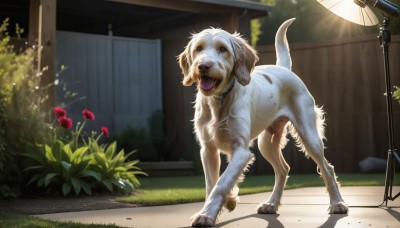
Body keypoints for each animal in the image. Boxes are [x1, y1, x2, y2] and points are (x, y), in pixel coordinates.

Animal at [177, 18, 346, 227]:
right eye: (199, 48)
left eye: (223, 49)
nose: (203, 66)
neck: (220, 100)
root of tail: (283, 69)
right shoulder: (208, 150)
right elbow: (213, 184)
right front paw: (223, 203)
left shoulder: (241, 151)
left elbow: (221, 183)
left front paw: (206, 214)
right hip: (266, 143)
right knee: (283, 169)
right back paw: (271, 204)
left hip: (309, 136)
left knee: (327, 168)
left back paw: (337, 203)